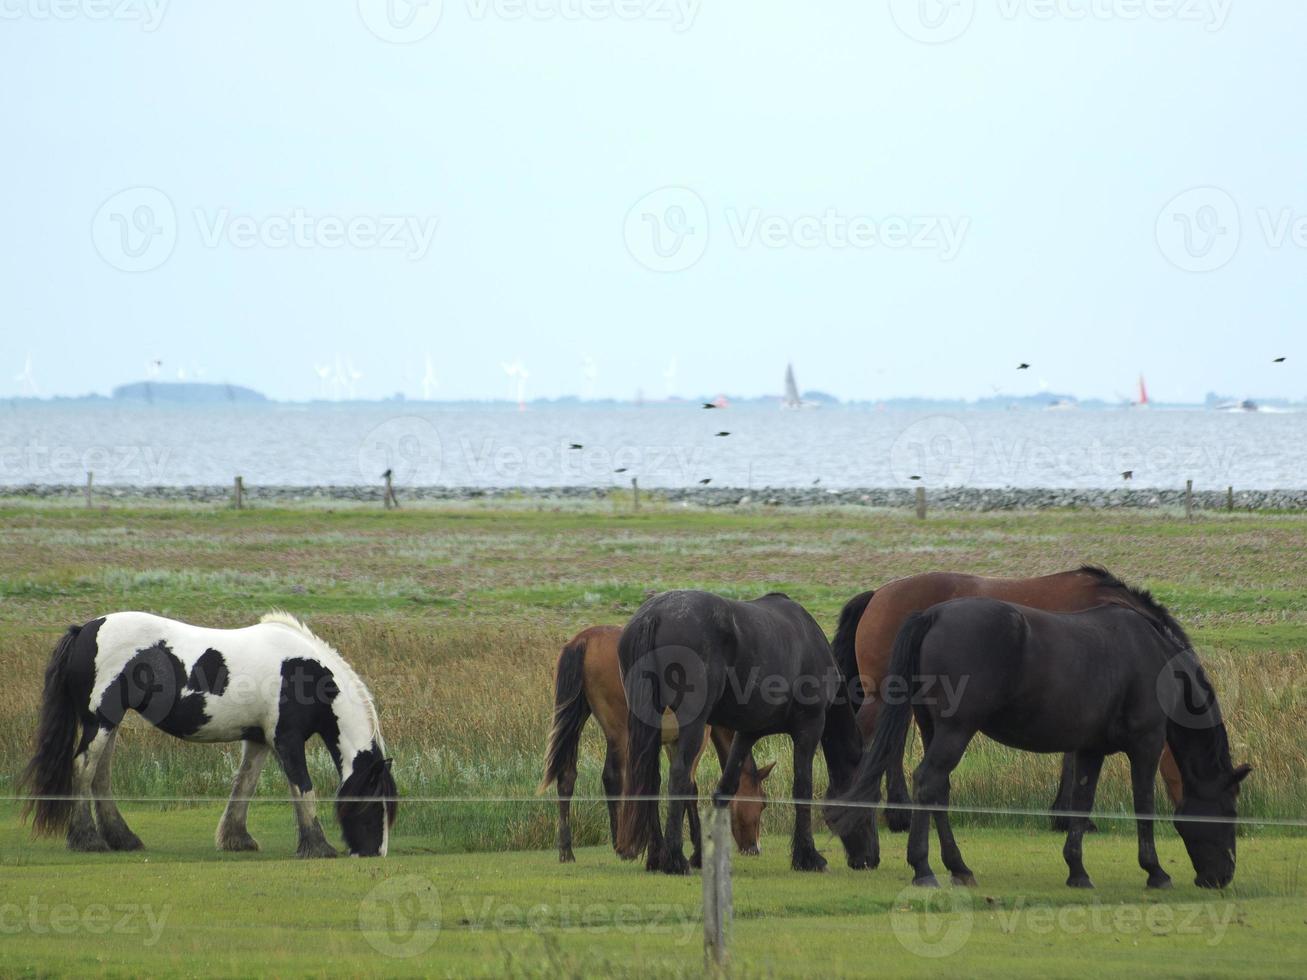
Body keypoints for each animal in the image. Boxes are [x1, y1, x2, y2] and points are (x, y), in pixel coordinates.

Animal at [21, 614, 397, 857]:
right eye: (372, 804)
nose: (374, 852)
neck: (303, 672)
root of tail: (85, 629)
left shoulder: (260, 740)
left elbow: (244, 786)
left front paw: (236, 839)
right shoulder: (287, 740)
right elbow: (303, 788)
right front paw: (317, 846)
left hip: (108, 722)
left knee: (100, 775)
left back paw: (122, 839)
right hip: (100, 720)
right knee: (84, 769)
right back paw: (87, 839)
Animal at [535, 629, 768, 867]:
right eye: (762, 804)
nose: (754, 848)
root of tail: (585, 638)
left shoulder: (673, 743)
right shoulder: (699, 736)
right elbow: (689, 786)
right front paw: (695, 847)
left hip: (576, 719)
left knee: (568, 777)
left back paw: (567, 850)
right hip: (621, 733)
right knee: (613, 777)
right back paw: (623, 847)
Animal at [614, 590, 878, 872]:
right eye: (871, 804)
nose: (871, 859)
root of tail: (654, 615)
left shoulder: (746, 733)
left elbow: (725, 787)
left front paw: (703, 855)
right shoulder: (810, 727)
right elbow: (802, 789)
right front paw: (808, 856)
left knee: (650, 781)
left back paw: (657, 857)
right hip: (692, 727)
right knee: (679, 776)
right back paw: (674, 859)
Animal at [831, 564, 1191, 831]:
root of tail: (877, 595)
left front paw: (1063, 814)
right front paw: (1071, 817)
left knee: (889, 747)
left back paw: (897, 815)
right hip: (884, 695)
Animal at [831, 595, 1249, 893]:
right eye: (1230, 813)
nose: (1222, 876)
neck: (1151, 654)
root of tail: (933, 615)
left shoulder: (1090, 750)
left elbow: (1081, 804)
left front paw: (1077, 870)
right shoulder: (1145, 746)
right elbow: (1143, 805)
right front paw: (1155, 871)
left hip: (934, 728)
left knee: (939, 790)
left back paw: (959, 867)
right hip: (955, 731)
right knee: (927, 780)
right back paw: (923, 868)